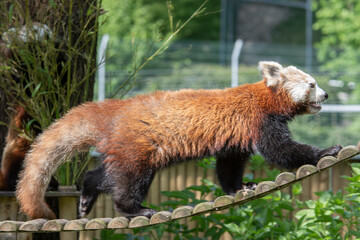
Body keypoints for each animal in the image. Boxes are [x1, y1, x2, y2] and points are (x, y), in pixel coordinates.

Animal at [15, 61, 340, 219]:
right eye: (311, 84)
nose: (326, 95)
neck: (266, 98)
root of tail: (116, 109)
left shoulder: (234, 137)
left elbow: (229, 165)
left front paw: (239, 187)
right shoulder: (258, 120)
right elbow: (281, 150)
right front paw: (326, 150)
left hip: (124, 147)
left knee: (104, 175)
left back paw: (87, 194)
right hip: (138, 148)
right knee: (128, 181)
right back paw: (136, 209)